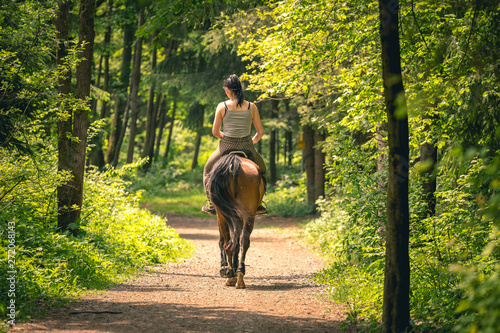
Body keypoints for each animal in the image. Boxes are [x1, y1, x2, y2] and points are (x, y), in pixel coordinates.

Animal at [205, 151, 266, 288]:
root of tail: (234, 164)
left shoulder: (220, 216)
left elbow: (222, 241)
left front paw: (224, 267)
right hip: (248, 214)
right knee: (242, 242)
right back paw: (239, 274)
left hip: (225, 215)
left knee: (228, 243)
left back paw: (231, 275)